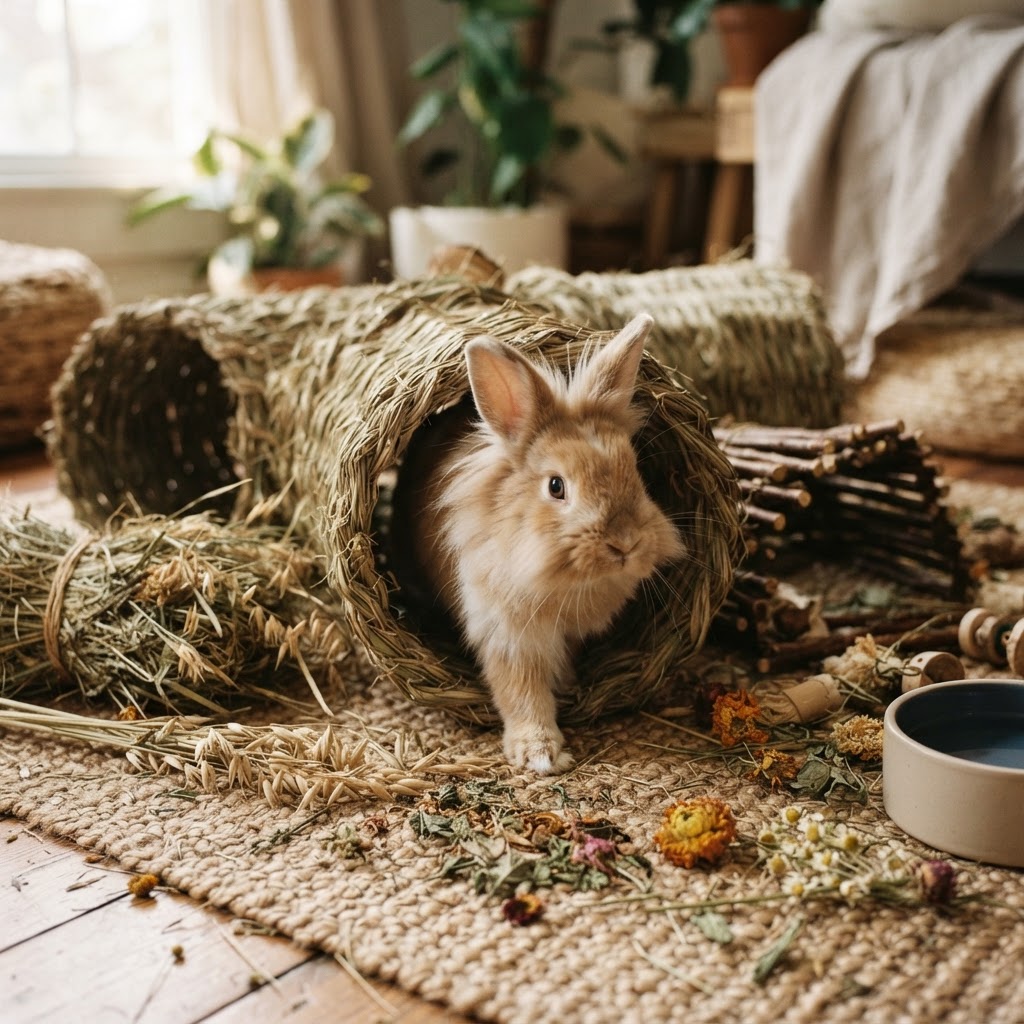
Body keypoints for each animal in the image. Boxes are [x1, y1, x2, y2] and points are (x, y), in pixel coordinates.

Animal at [392, 313, 685, 774]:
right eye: (556, 486)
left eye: (635, 472)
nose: (624, 544)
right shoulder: (508, 636)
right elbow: (521, 693)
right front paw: (540, 753)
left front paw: (566, 687)